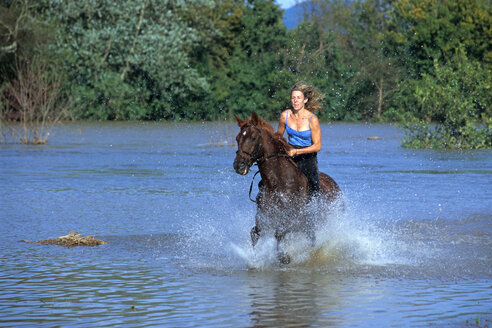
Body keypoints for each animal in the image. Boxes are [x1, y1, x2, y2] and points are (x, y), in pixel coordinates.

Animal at [232, 111, 340, 262]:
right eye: (237, 138)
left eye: (253, 138)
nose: (239, 165)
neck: (277, 183)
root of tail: (335, 186)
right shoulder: (263, 217)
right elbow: (254, 233)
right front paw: (255, 258)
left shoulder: (294, 219)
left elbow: (279, 233)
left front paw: (284, 257)